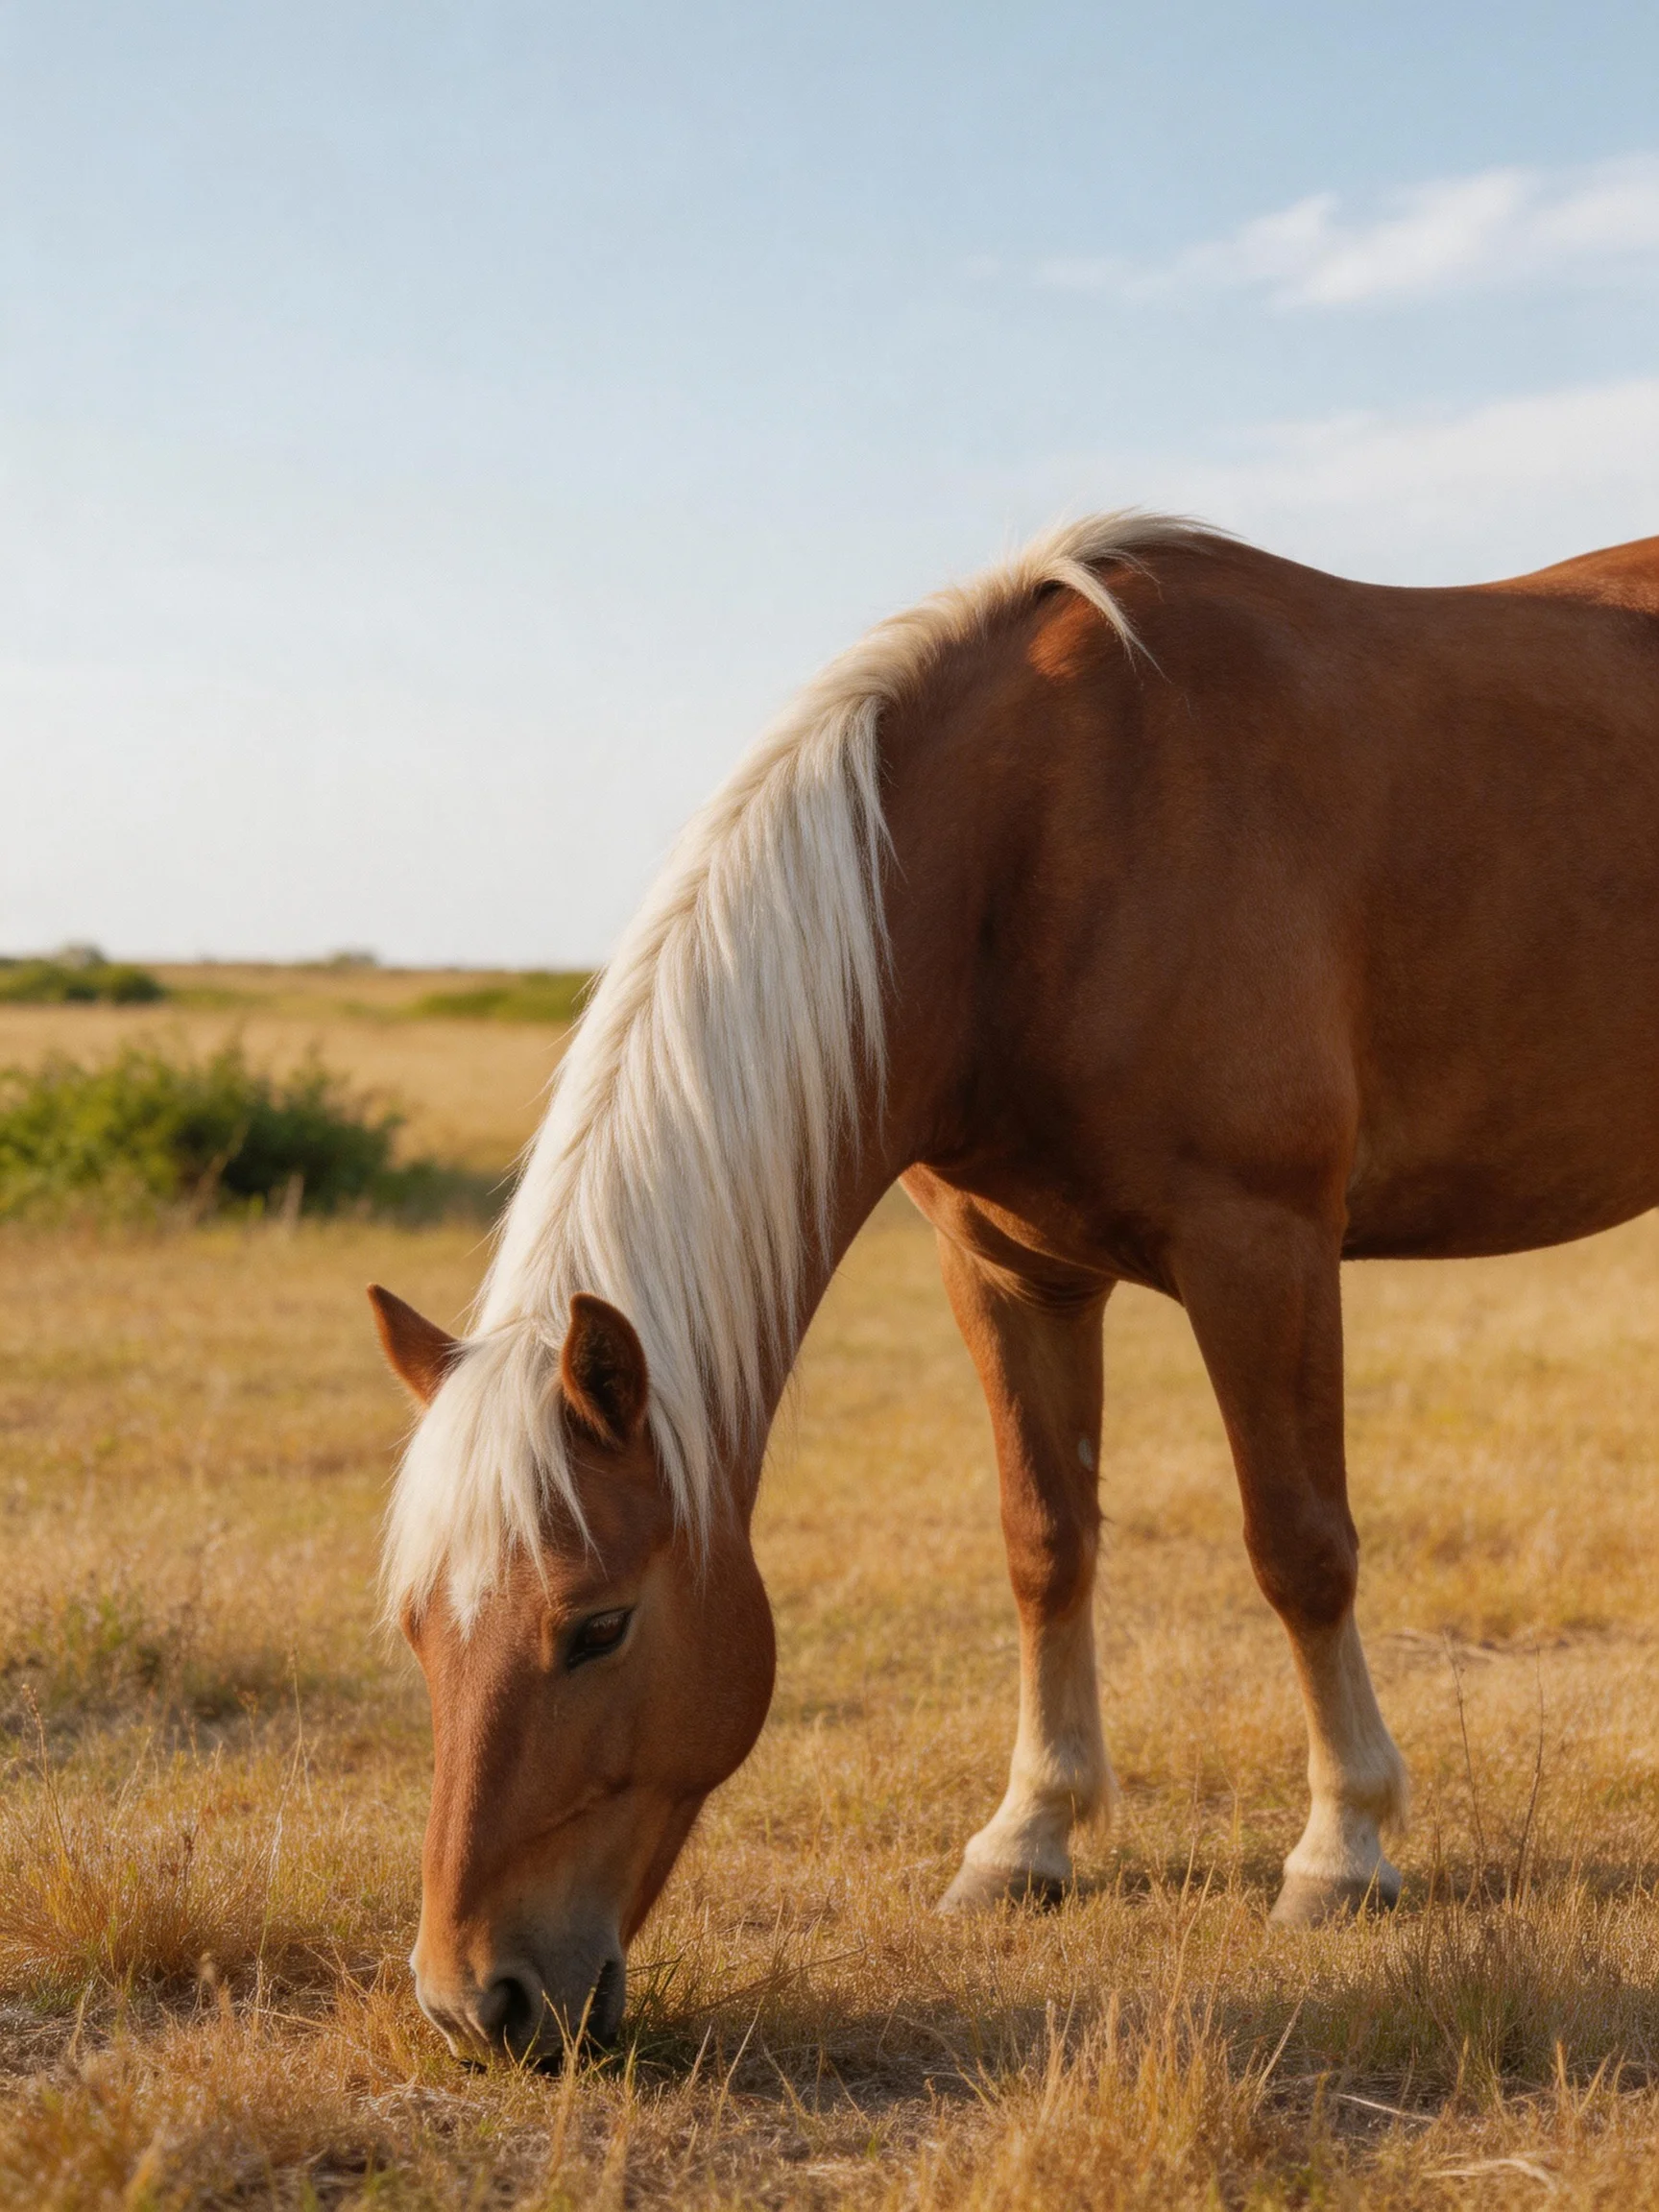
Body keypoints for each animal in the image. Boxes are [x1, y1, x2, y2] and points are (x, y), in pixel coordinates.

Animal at [369, 511, 1659, 2063]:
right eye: (419, 1629)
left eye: (597, 1627)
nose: (473, 2000)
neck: (1047, 837)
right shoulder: (1005, 1269)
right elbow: (1045, 1541)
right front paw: (1026, 1839)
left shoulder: (1261, 1245)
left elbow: (1299, 1547)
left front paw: (1343, 1850)